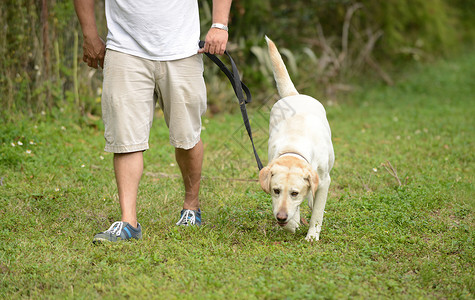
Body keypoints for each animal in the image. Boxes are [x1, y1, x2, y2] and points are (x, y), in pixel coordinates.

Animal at [260, 36, 334, 241]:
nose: (281, 217)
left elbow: (317, 211)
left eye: (294, 193)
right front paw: (291, 224)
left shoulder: (324, 180)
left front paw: (312, 236)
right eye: (276, 190)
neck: (294, 148)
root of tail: (295, 94)